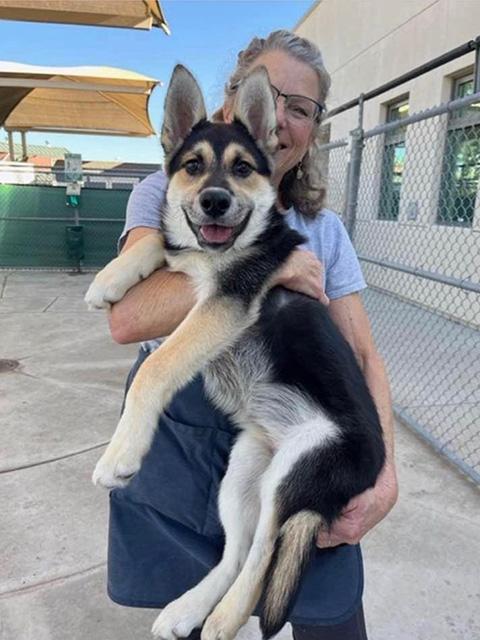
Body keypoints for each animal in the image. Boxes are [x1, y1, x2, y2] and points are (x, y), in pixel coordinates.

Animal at [85, 65, 386, 640]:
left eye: (243, 168)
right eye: (193, 167)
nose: (215, 202)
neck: (229, 247)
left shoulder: (228, 300)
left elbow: (157, 367)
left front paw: (120, 454)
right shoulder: (195, 264)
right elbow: (159, 241)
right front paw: (108, 281)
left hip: (298, 466)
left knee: (265, 550)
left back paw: (224, 618)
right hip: (246, 466)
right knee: (236, 550)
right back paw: (188, 609)